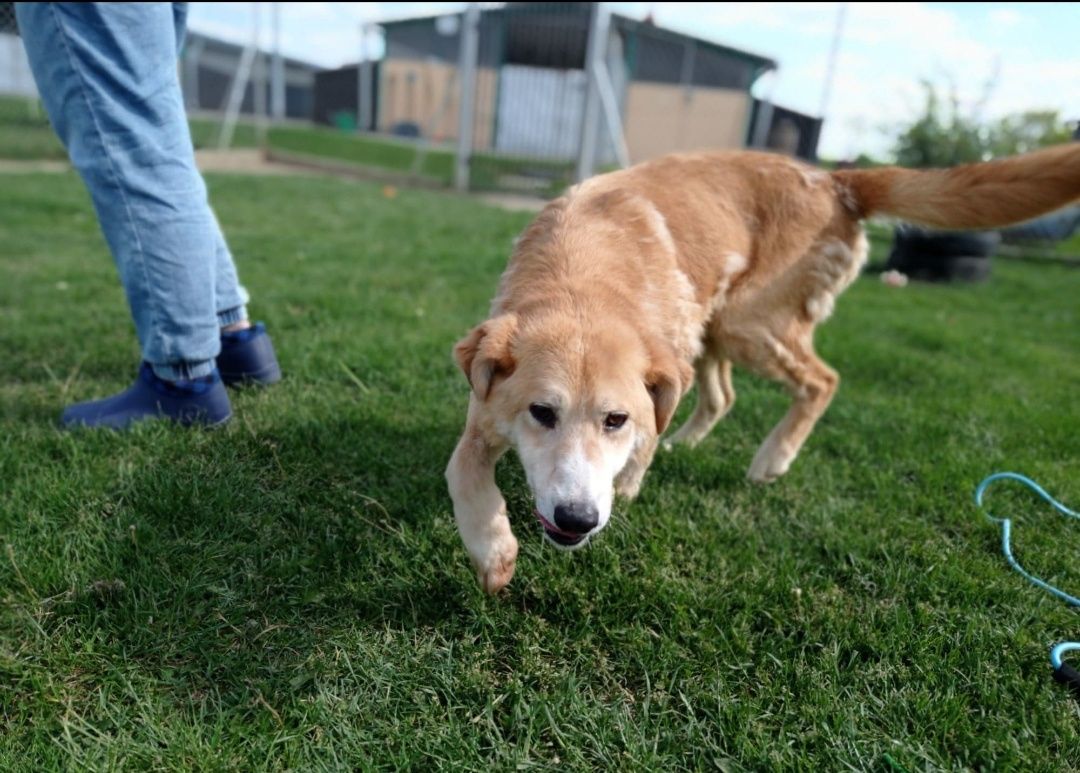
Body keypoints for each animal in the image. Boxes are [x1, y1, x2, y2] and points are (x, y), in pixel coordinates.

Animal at [444, 143, 1080, 591]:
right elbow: (464, 478)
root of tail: (835, 180)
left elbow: (641, 449)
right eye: (541, 413)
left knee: (823, 380)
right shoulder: (484, 411)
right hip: (715, 331)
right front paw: (495, 554)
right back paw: (692, 442)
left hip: (746, 324)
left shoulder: (653, 391)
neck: (581, 276)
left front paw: (627, 484)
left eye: (615, 420)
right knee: (723, 395)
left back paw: (772, 458)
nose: (577, 519)